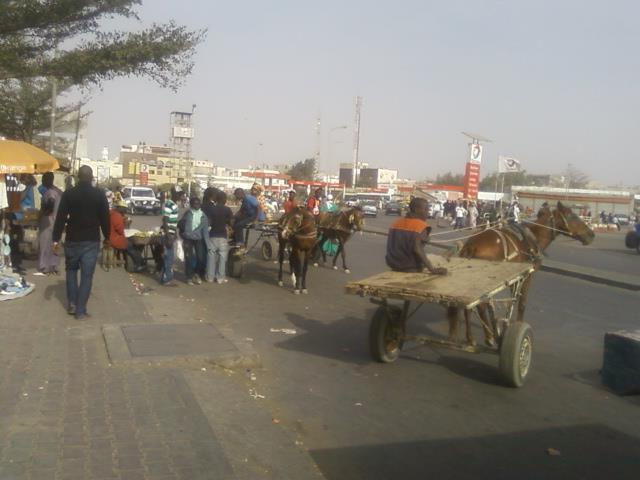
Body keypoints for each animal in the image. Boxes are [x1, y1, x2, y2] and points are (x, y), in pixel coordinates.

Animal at [448, 201, 592, 346]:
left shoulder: (515, 278)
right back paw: (489, 337)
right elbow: (522, 303)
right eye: (572, 216)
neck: (534, 238)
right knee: (480, 306)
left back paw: (470, 338)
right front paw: (519, 325)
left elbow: (513, 300)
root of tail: (471, 245)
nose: (591, 234)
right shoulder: (527, 275)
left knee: (467, 306)